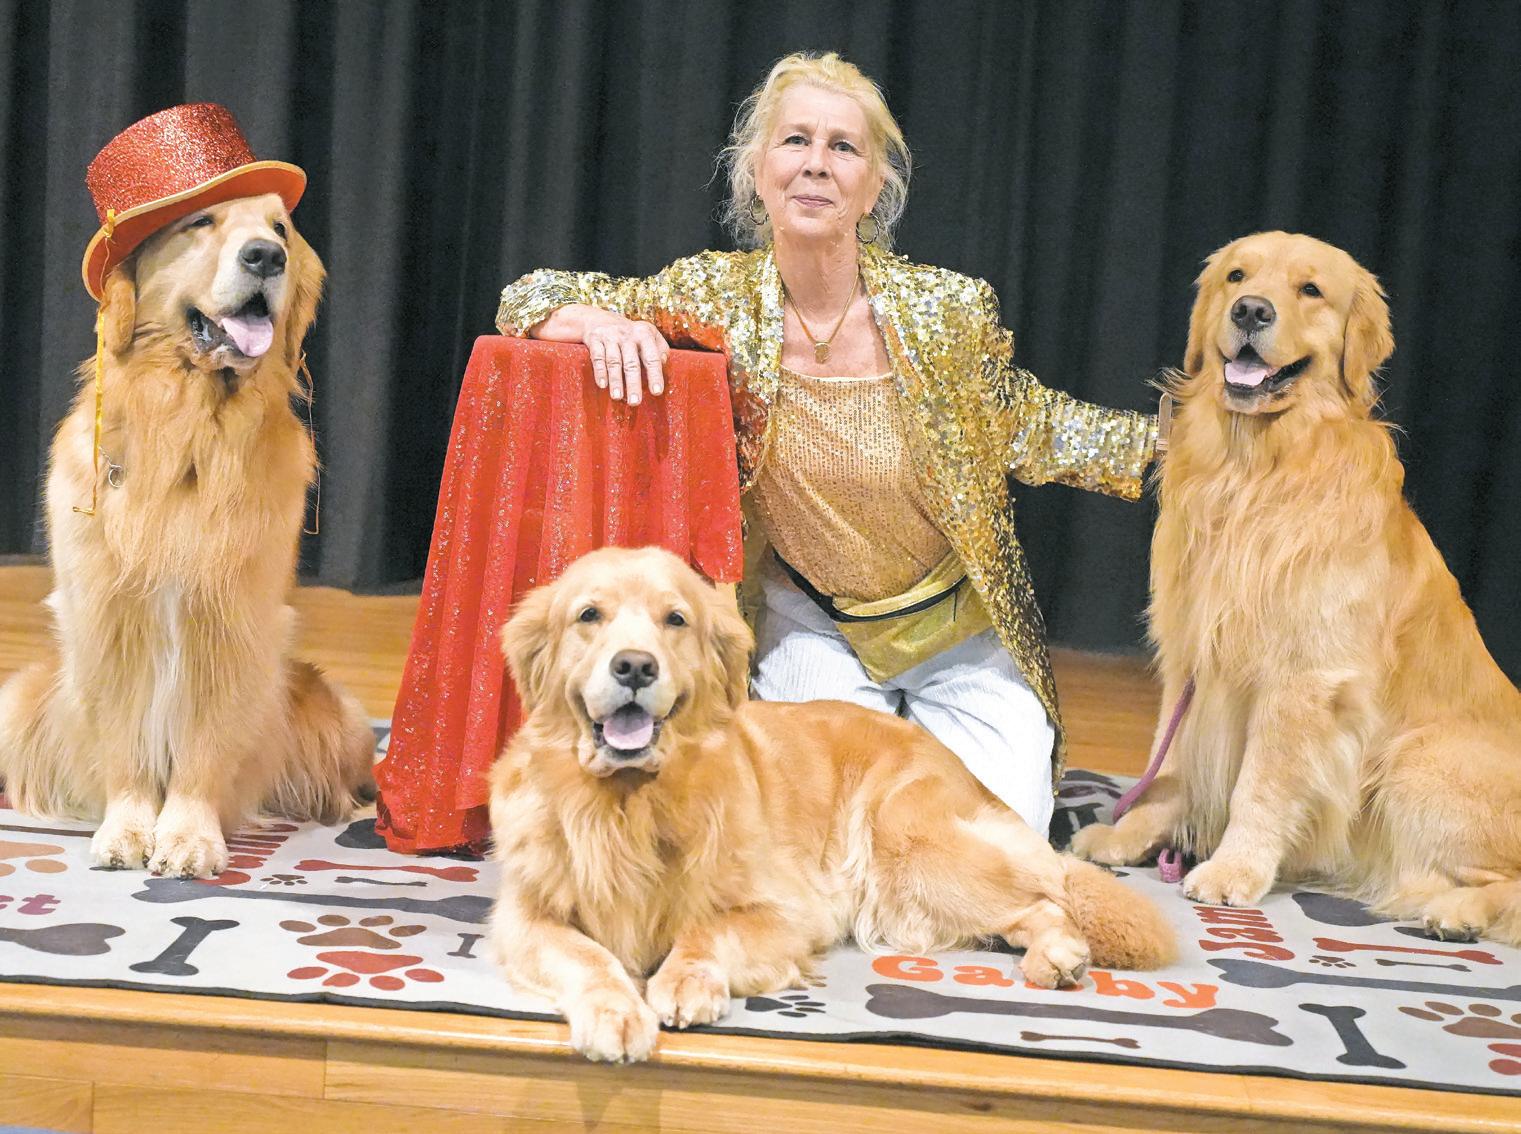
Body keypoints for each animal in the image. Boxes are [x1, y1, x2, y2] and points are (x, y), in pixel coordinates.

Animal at [0, 194, 374, 878]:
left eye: (280, 229)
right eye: (201, 222)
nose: (266, 256)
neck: (190, 429)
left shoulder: (229, 623)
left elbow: (205, 747)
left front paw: (188, 837)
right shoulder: (110, 618)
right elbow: (123, 745)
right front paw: (127, 828)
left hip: (339, 714)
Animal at [487, 545, 1175, 1062]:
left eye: (674, 620)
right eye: (589, 615)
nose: (634, 666)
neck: (629, 805)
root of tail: (957, 767)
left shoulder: (787, 912)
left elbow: (707, 929)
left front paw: (684, 979)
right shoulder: (524, 917)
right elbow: (587, 956)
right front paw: (616, 1011)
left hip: (910, 845)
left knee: (1047, 896)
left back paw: (1057, 955)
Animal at [1072, 231, 1521, 945]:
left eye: (1311, 290)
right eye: (1237, 276)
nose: (1251, 311)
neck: (1255, 471)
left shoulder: (1302, 680)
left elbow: (1260, 786)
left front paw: (1234, 869)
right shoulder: (1189, 651)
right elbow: (1169, 761)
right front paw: (1128, 835)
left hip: (1417, 764)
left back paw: (1457, 914)